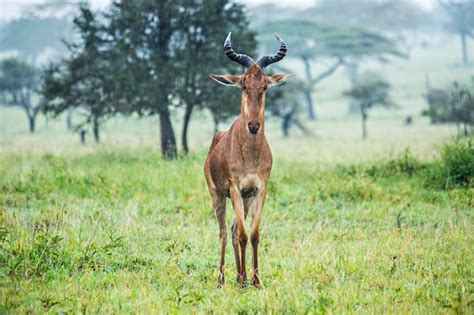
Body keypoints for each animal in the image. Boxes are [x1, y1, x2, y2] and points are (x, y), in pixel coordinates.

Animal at [204, 32, 288, 288]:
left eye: (265, 85)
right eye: (242, 84)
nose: (253, 125)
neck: (250, 154)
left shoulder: (259, 190)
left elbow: (254, 234)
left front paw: (256, 281)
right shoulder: (234, 189)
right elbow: (242, 234)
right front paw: (243, 283)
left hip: (246, 199)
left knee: (232, 230)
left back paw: (239, 276)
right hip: (218, 196)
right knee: (224, 232)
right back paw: (222, 279)